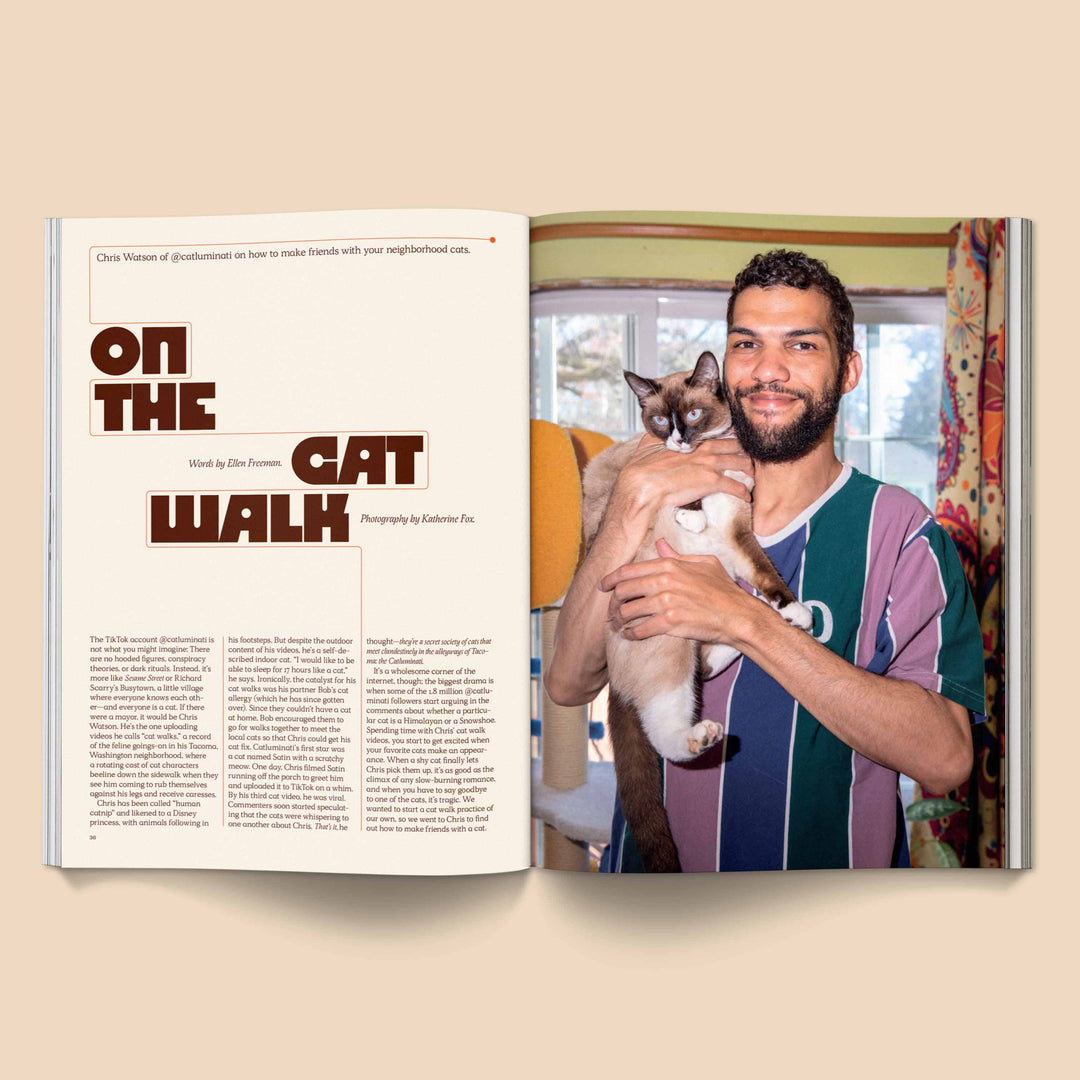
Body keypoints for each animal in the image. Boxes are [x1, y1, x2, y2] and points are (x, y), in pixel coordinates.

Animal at [583, 349, 812, 872]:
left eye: (690, 414)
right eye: (659, 419)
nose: (678, 439)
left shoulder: (736, 533)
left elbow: (768, 574)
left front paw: (794, 613)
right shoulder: (632, 473)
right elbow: (682, 494)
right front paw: (689, 514)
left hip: (692, 636)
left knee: (708, 661)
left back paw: (754, 629)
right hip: (668, 650)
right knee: (667, 730)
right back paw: (702, 737)